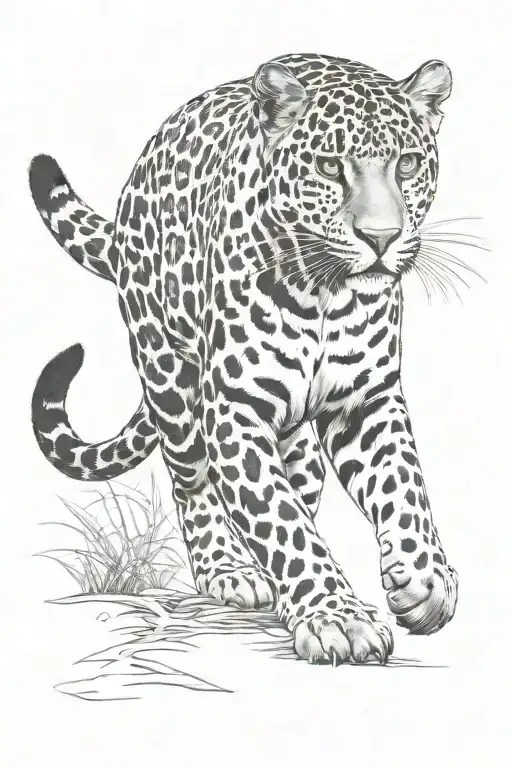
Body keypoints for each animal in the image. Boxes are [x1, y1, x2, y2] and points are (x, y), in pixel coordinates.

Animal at [29, 52, 459, 665]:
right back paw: (229, 569)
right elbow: (281, 520)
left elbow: (404, 490)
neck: (326, 293)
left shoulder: (366, 399)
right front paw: (337, 618)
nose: (382, 238)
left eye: (407, 164)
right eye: (329, 166)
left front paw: (425, 584)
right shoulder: (235, 408)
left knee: (299, 482)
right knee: (192, 479)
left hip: (293, 434)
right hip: (168, 375)